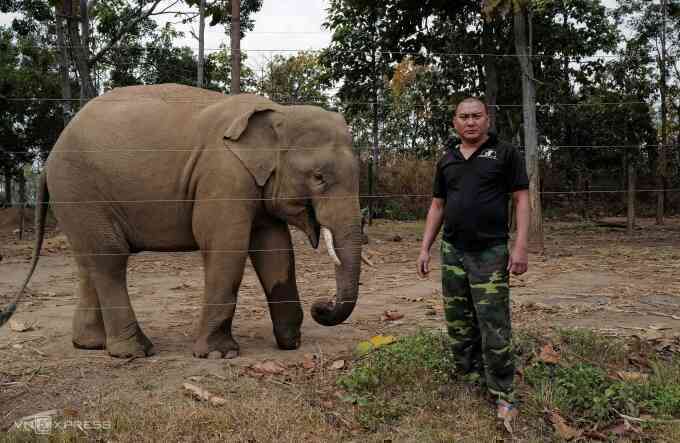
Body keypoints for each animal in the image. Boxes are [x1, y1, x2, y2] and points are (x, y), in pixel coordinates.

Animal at [0, 84, 366, 360]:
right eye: (318, 177)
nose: (322, 307)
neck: (278, 112)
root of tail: (49, 157)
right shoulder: (222, 176)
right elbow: (225, 246)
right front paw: (219, 355)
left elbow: (274, 249)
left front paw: (290, 343)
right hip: (80, 189)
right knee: (110, 257)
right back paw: (135, 352)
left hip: (75, 200)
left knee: (88, 261)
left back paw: (90, 345)